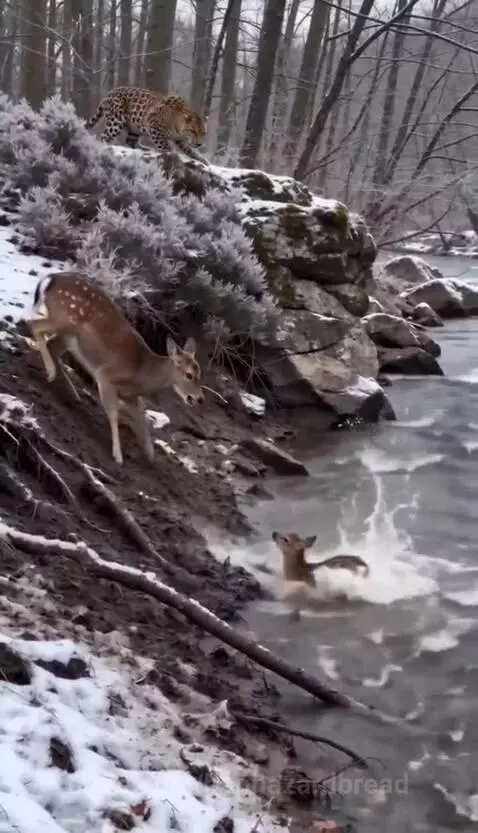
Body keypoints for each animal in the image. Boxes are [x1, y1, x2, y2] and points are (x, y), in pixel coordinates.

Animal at [25, 272, 204, 465]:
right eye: (189, 375)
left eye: (200, 373)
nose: (200, 398)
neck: (140, 372)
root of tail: (51, 278)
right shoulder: (106, 376)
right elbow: (113, 414)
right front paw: (118, 455)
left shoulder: (131, 396)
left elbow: (143, 421)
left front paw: (150, 456)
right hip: (64, 319)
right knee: (34, 325)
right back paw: (51, 373)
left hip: (69, 334)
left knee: (51, 344)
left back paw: (70, 390)